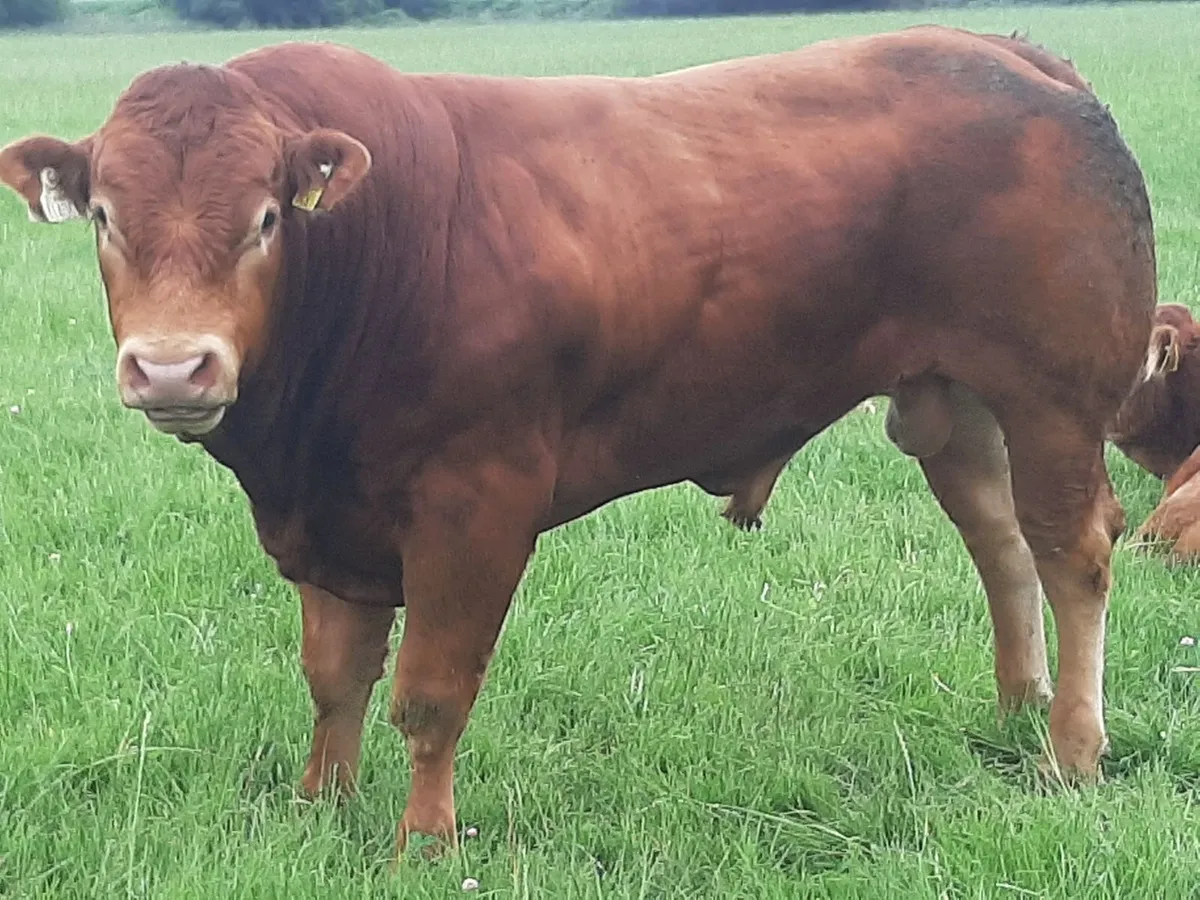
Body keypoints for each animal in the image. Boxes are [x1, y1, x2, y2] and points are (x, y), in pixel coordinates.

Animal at [0, 25, 1156, 859]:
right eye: (103, 217)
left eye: (267, 220)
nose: (171, 369)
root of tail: (1017, 55)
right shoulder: (330, 516)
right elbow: (335, 678)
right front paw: (319, 809)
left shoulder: (475, 507)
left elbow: (429, 692)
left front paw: (424, 841)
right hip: (954, 399)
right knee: (1001, 545)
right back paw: (1019, 706)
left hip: (1052, 398)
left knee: (1073, 555)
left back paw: (1071, 751)